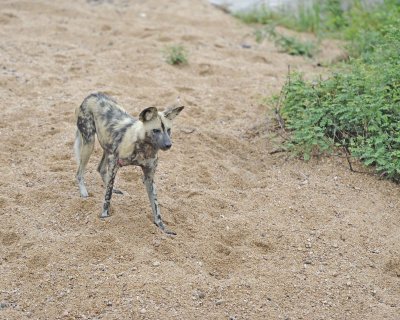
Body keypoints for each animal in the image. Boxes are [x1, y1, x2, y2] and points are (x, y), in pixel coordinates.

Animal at [74, 92, 184, 235]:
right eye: (156, 130)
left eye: (169, 130)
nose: (168, 145)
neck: (144, 148)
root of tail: (92, 95)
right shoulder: (114, 163)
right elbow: (107, 197)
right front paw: (104, 217)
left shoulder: (149, 177)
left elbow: (156, 206)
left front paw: (162, 226)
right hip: (89, 143)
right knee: (80, 172)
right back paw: (83, 192)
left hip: (107, 147)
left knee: (101, 169)